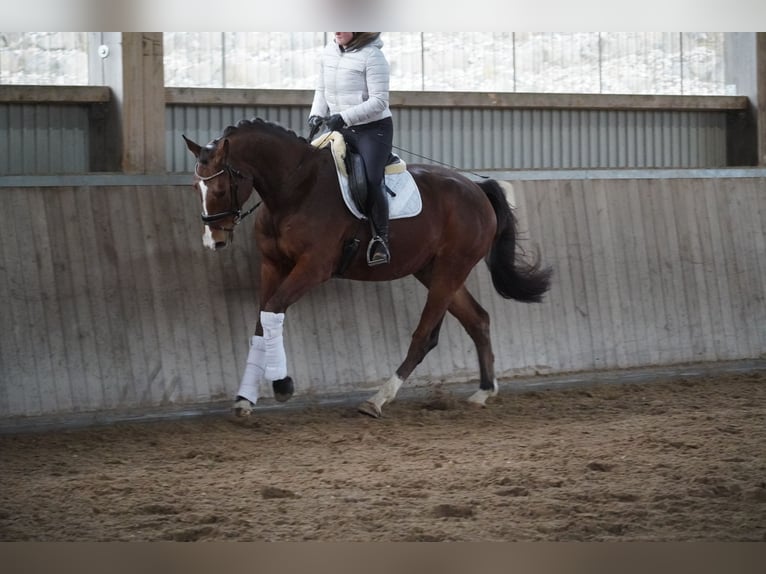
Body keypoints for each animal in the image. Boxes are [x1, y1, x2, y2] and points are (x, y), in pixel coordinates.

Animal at [183, 118, 552, 418]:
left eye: (220, 188)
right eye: (195, 187)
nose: (213, 241)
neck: (295, 188)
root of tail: (476, 187)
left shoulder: (314, 268)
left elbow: (273, 311)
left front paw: (282, 385)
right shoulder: (272, 265)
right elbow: (262, 322)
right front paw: (244, 399)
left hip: (451, 269)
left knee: (425, 337)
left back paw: (377, 400)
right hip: (433, 270)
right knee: (478, 319)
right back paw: (483, 392)